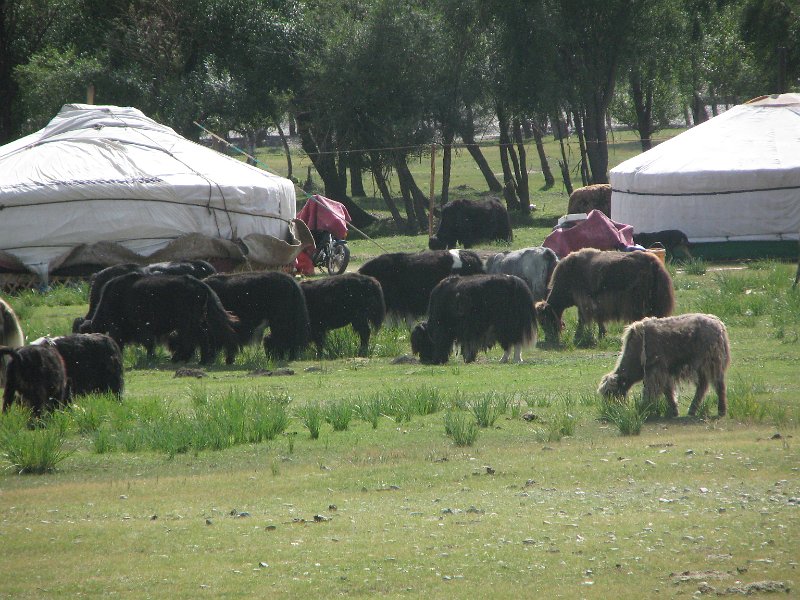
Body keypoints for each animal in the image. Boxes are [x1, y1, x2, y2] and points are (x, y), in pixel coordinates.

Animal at [536, 247, 672, 344]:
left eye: (544, 320)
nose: (549, 339)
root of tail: (654, 263)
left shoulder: (583, 300)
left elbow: (582, 318)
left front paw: (578, 336)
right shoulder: (595, 303)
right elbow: (598, 318)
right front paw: (602, 334)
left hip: (639, 301)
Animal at [592, 314, 732, 418]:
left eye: (611, 392)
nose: (611, 410)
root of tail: (719, 325)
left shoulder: (655, 369)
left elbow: (651, 389)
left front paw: (645, 407)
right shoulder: (664, 372)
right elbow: (667, 391)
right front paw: (673, 410)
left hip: (709, 362)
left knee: (717, 384)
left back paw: (721, 410)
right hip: (702, 366)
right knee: (703, 385)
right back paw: (692, 410)